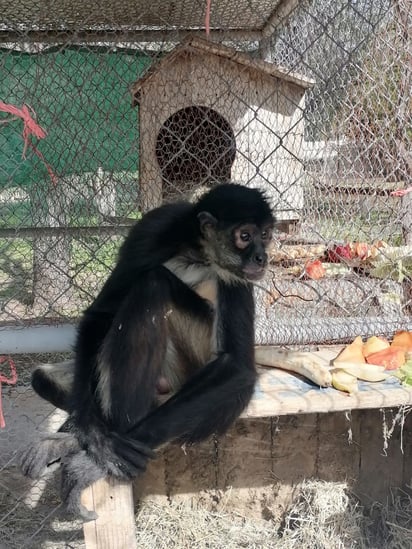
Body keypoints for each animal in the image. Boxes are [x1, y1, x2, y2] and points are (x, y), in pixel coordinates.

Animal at [20, 183, 276, 520]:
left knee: (153, 284)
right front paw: (95, 437)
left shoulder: (238, 275)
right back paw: (80, 438)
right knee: (45, 376)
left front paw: (99, 454)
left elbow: (237, 366)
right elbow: (101, 314)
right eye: (245, 236)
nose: (262, 257)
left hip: (191, 364)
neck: (199, 253)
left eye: (266, 235)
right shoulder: (155, 227)